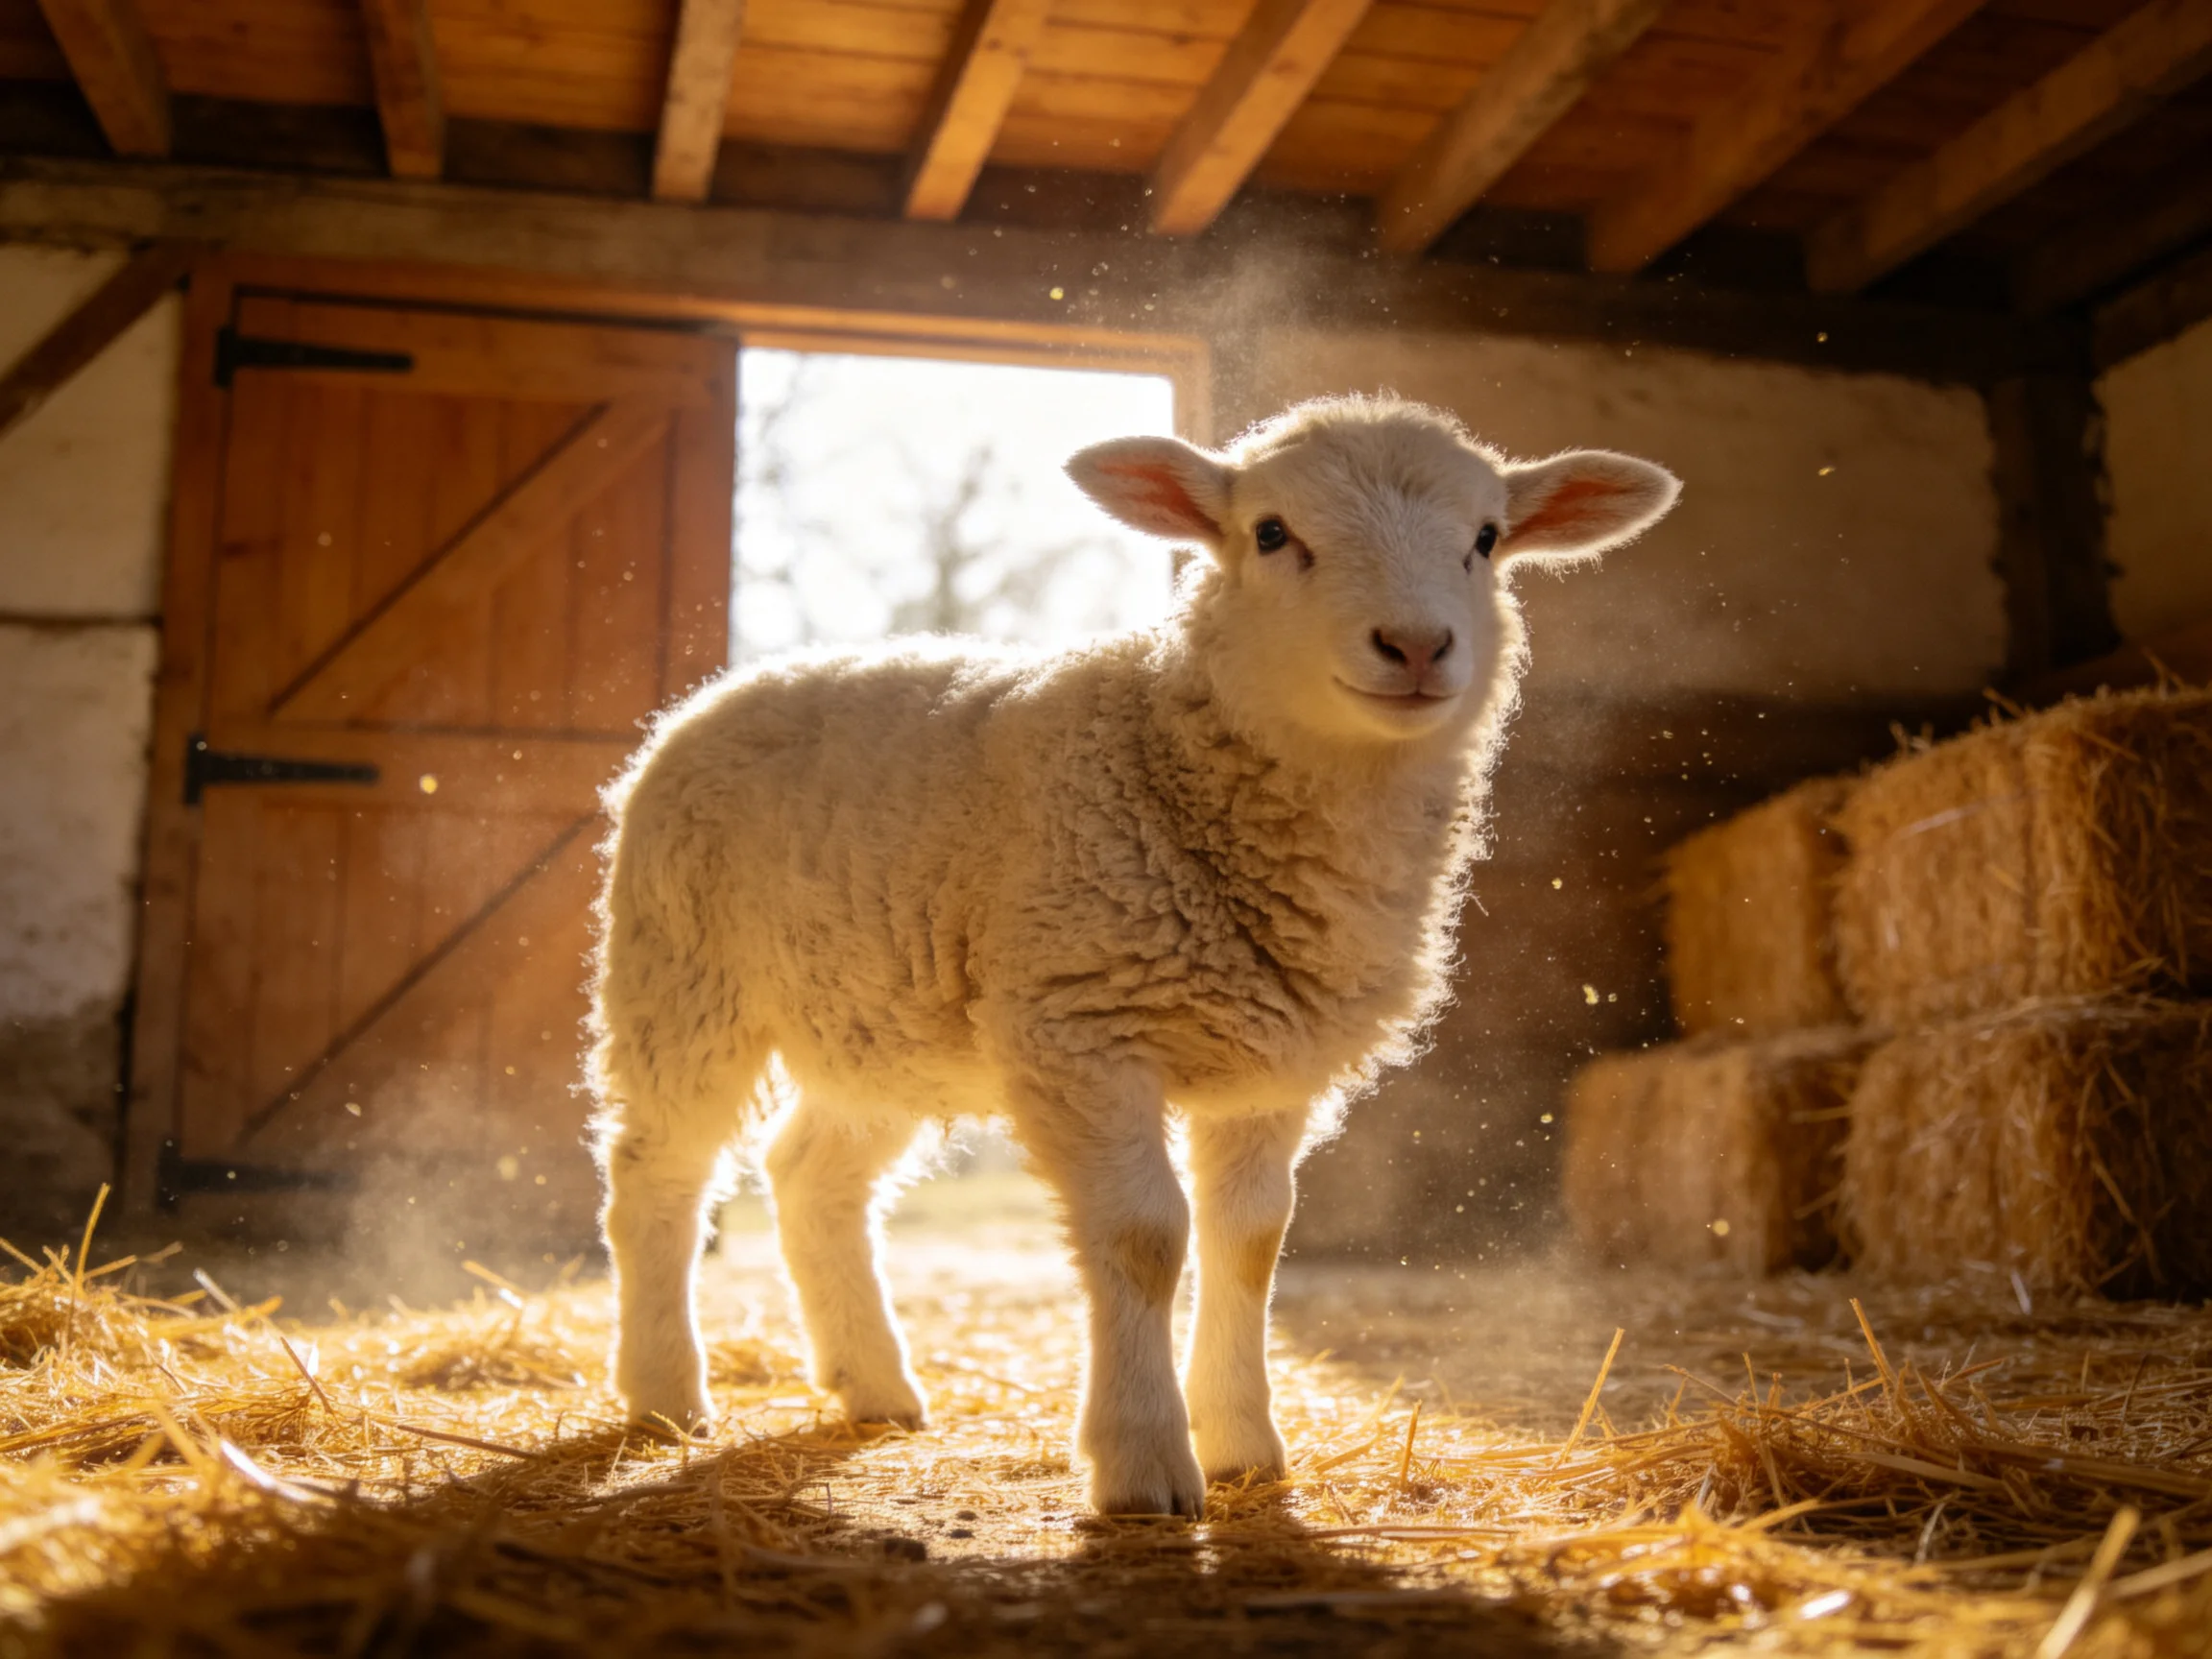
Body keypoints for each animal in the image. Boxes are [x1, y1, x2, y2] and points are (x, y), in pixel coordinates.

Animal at [590, 393, 1679, 1517]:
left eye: (1487, 538)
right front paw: (1145, 1461)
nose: (1417, 645)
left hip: (876, 1016)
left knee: (811, 1177)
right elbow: (1146, 1241)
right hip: (682, 976)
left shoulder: (1269, 1064)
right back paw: (665, 1393)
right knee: (655, 1175)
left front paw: (1245, 1445)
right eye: (1271, 533)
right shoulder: (1084, 1028)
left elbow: (1252, 1243)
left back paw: (875, 1386)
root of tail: (731, 686)